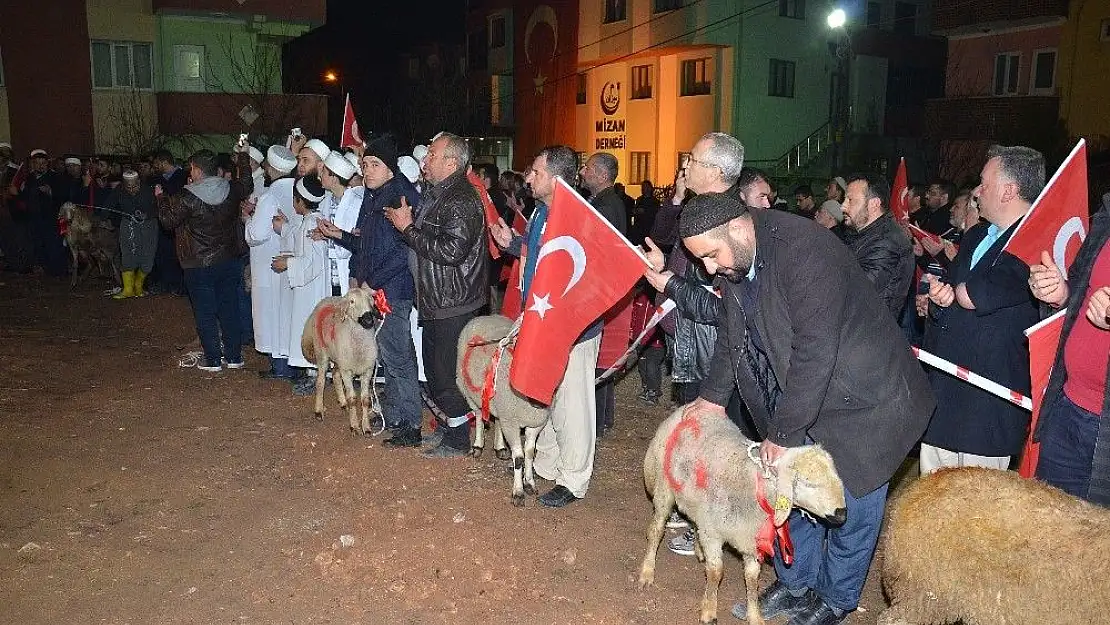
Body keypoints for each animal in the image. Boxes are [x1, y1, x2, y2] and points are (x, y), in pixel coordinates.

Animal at [301, 286, 384, 435]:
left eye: (370, 299)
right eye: (352, 301)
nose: (368, 319)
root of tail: (325, 300)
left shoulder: (367, 370)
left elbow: (365, 400)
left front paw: (366, 428)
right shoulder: (347, 370)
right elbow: (353, 399)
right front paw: (354, 426)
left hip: (340, 359)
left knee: (335, 375)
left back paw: (342, 402)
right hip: (322, 354)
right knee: (320, 382)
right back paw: (319, 411)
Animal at [455, 315, 550, 506]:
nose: (540, 402)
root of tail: (484, 316)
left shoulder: (535, 425)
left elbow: (530, 453)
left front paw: (530, 483)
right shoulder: (511, 423)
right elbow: (519, 458)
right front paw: (518, 492)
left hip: (499, 405)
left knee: (497, 420)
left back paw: (499, 447)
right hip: (469, 392)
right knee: (478, 416)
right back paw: (478, 445)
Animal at [639, 410, 843, 625]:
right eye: (808, 483)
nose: (842, 515)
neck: (753, 485)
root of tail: (682, 410)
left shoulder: (750, 538)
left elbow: (752, 579)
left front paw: (754, 615)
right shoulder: (713, 533)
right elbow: (716, 572)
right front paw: (709, 610)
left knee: (694, 521)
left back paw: (698, 549)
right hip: (664, 488)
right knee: (656, 530)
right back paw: (647, 572)